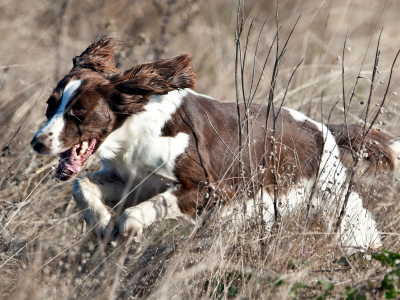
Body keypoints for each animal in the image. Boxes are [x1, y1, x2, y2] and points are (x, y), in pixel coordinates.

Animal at [32, 35, 400, 248]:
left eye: (79, 111)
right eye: (51, 104)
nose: (38, 142)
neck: (135, 131)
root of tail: (324, 129)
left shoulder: (211, 189)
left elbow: (146, 208)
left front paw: (127, 226)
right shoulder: (132, 181)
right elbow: (81, 185)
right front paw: (103, 223)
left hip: (334, 200)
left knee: (360, 232)